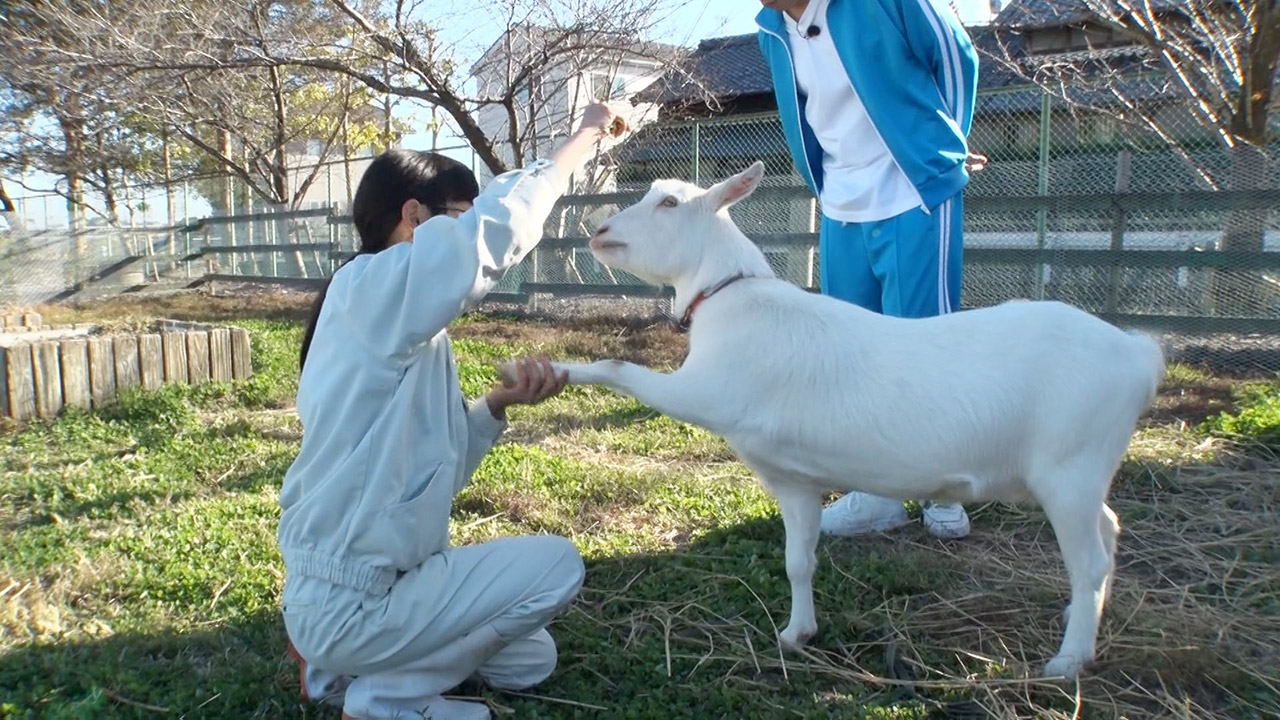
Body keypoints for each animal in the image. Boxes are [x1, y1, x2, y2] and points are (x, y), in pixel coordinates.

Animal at [501, 159, 1172, 676]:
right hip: (1076, 474)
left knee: (1089, 558)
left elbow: (621, 368)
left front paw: (545, 369)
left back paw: (1069, 659)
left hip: (1069, 467)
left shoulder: (708, 393)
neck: (733, 298)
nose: (599, 229)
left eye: (668, 202)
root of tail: (1138, 355)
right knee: (1108, 531)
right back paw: (1079, 616)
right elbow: (799, 560)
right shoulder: (794, 478)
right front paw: (797, 634)